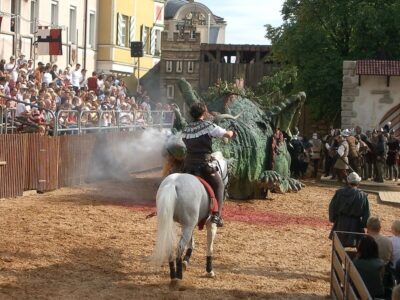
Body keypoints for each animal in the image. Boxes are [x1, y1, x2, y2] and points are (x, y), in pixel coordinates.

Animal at [152, 151, 230, 284]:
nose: (227, 193)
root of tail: (173, 184)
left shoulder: (189, 224)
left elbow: (191, 243)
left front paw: (186, 261)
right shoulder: (210, 224)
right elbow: (209, 247)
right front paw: (209, 270)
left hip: (172, 223)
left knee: (170, 246)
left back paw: (173, 274)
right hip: (187, 225)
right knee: (179, 247)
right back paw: (178, 277)